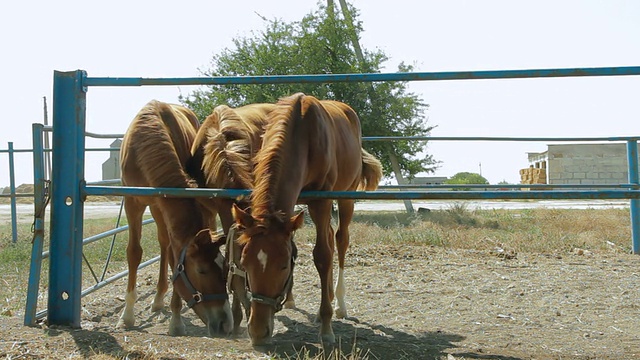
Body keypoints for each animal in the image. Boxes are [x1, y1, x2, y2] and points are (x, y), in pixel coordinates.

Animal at [117, 100, 232, 336]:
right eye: (201, 271)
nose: (225, 324)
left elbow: (173, 254)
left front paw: (176, 319)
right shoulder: (132, 203)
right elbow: (134, 253)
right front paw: (127, 316)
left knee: (166, 244)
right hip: (155, 208)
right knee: (163, 243)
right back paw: (157, 300)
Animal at [232, 93, 382, 346]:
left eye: (283, 266)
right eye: (244, 262)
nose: (258, 332)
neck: (302, 133)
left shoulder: (320, 201)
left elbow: (322, 255)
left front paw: (326, 327)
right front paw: (291, 298)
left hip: (346, 196)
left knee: (340, 240)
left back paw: (339, 304)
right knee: (330, 236)